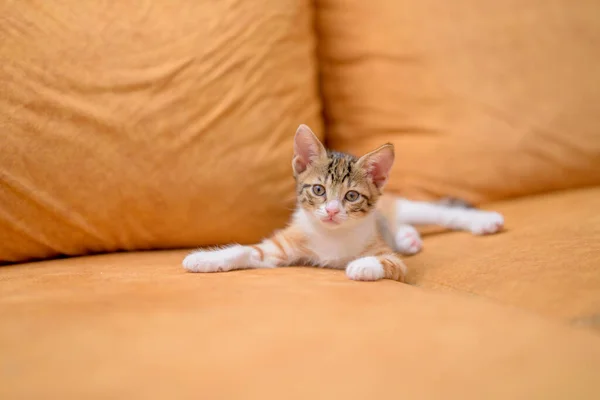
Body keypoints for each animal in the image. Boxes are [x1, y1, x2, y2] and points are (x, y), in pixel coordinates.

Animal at [183, 123, 502, 282]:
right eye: (319, 190)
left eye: (351, 196)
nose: (332, 210)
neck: (331, 237)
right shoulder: (283, 246)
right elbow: (247, 251)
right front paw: (205, 259)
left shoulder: (390, 257)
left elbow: (388, 262)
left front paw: (362, 266)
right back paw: (408, 237)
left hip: (398, 206)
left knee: (435, 211)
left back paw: (484, 221)